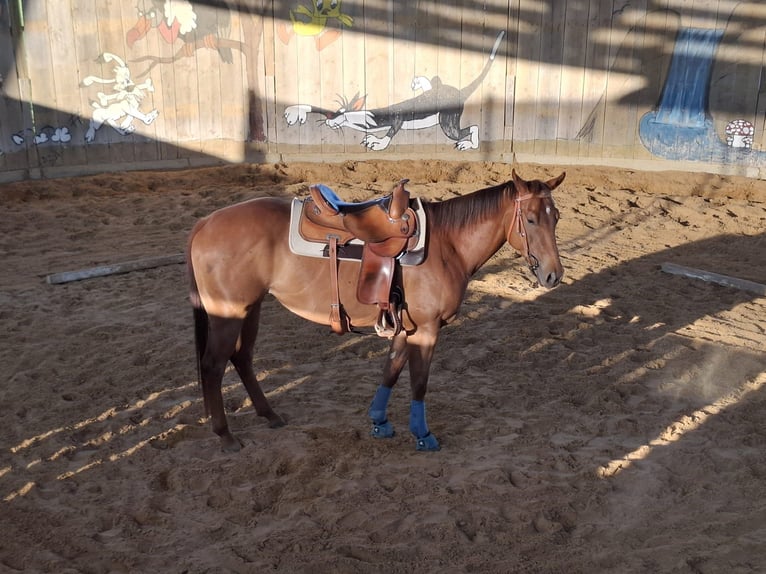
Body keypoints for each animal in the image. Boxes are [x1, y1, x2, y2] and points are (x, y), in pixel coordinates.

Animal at [186, 169, 566, 452]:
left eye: (557, 217)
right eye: (531, 219)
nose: (554, 275)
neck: (448, 245)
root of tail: (204, 223)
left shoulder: (406, 327)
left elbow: (391, 371)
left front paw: (379, 422)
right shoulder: (427, 329)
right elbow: (418, 383)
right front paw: (423, 435)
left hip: (250, 309)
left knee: (242, 359)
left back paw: (270, 415)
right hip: (228, 313)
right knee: (213, 365)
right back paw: (225, 435)